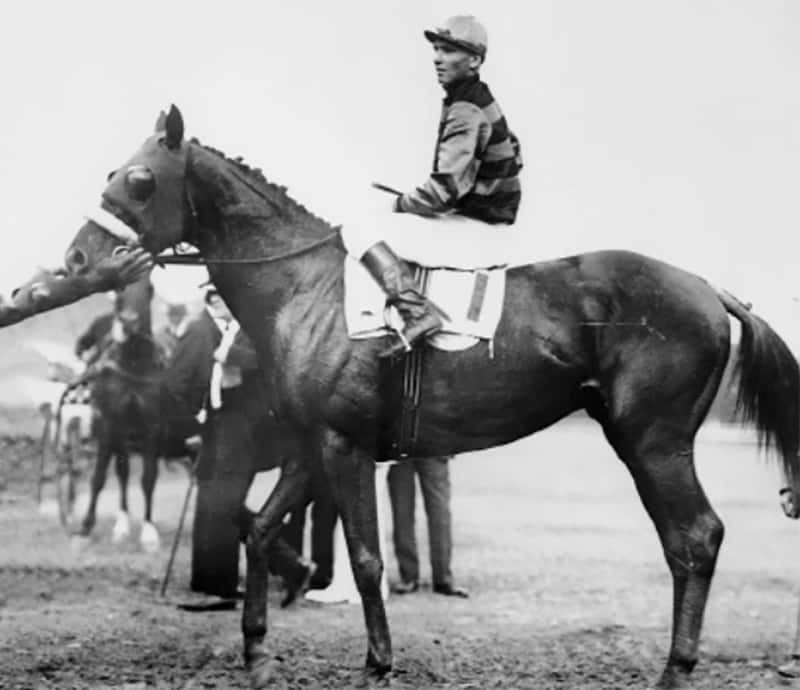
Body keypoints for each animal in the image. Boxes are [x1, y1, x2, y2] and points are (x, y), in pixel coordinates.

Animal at [76, 272, 166, 551]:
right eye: (120, 286)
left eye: (149, 287)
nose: (128, 321)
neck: (133, 363)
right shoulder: (109, 422)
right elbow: (99, 477)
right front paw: (85, 528)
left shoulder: (151, 424)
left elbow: (149, 477)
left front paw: (149, 533)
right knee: (121, 471)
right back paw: (121, 525)